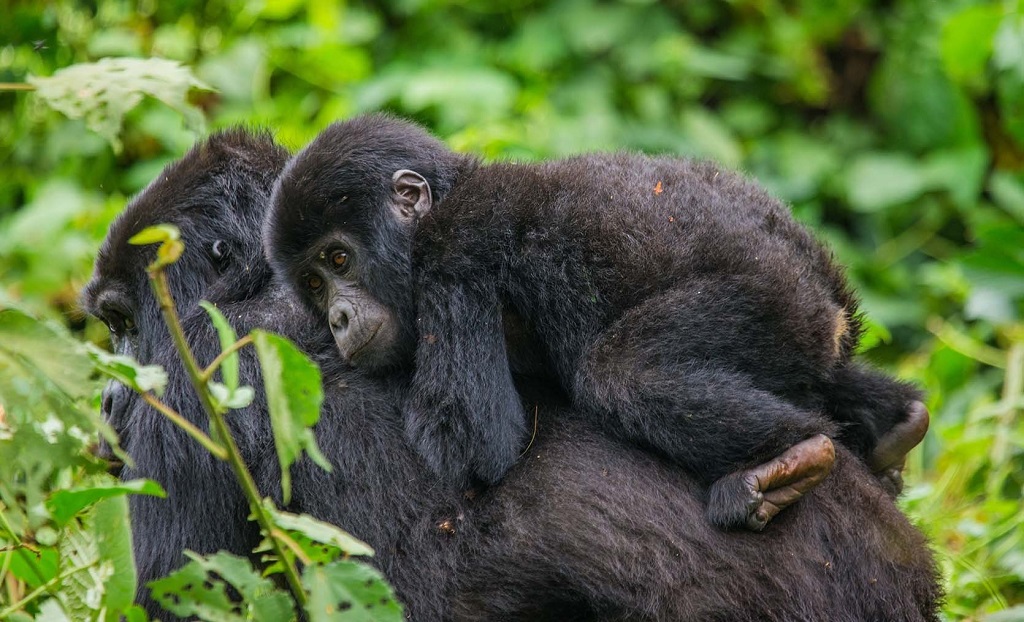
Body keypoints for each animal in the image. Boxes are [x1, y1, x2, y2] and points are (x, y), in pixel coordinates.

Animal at [264, 114, 929, 528]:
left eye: (339, 259)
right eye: (314, 287)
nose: (339, 316)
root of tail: (830, 296)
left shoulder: (458, 243)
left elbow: (475, 446)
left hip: (777, 303)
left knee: (621, 375)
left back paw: (796, 456)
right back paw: (896, 424)